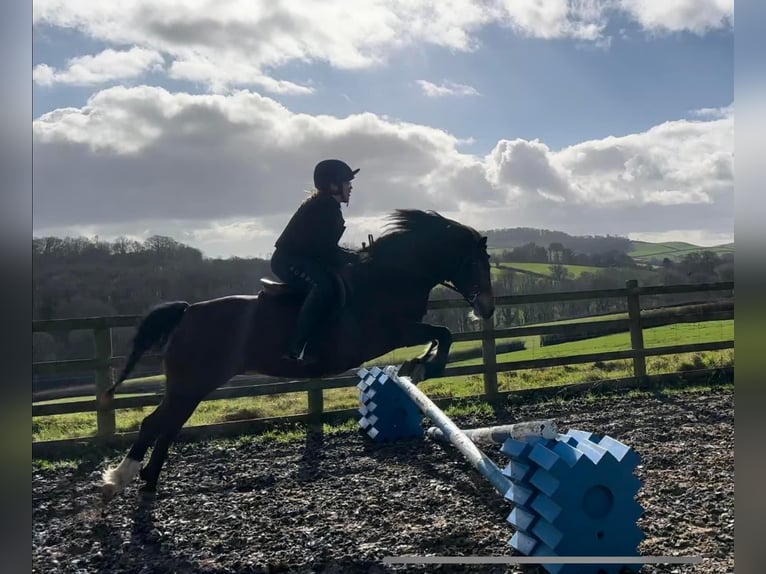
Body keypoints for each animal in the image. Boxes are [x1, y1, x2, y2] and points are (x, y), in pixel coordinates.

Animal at [99, 209, 496, 502]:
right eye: (477, 264)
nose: (487, 309)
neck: (390, 277)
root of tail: (187, 312)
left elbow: (440, 335)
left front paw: (419, 364)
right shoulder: (394, 331)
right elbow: (442, 334)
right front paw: (425, 365)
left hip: (190, 388)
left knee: (168, 427)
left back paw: (149, 482)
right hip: (190, 385)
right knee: (155, 424)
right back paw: (120, 479)